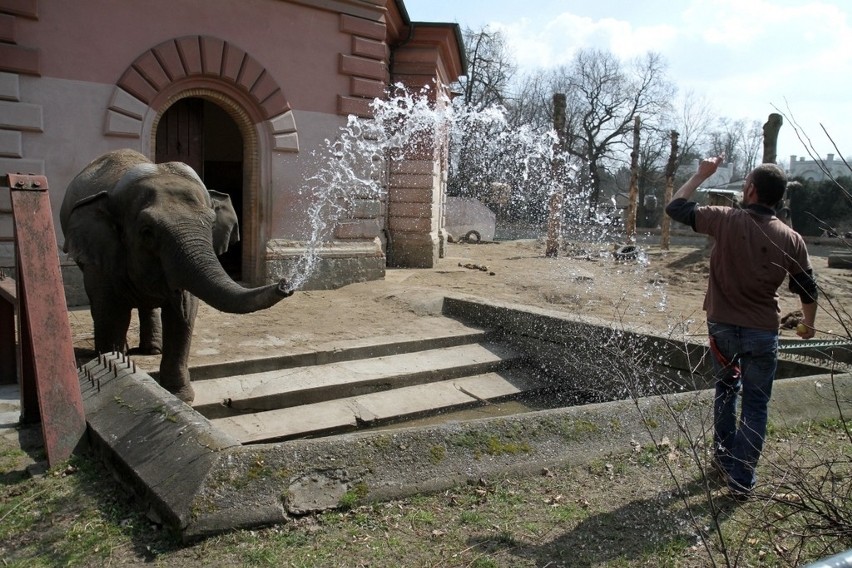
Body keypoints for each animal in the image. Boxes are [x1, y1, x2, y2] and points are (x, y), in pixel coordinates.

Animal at [60, 149, 292, 402]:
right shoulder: (102, 257)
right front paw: (113, 363)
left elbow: (184, 313)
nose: (285, 284)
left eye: (212, 224)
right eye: (147, 231)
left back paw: (152, 350)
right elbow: (110, 312)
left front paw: (181, 397)